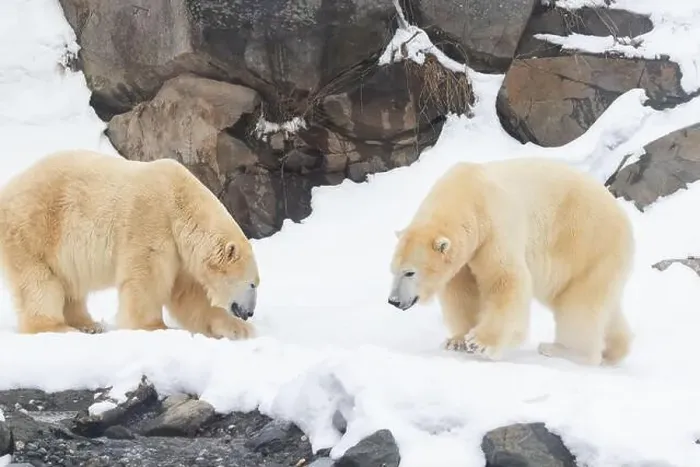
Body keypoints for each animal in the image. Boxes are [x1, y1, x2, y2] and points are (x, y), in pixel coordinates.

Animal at [0, 149, 259, 340]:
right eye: (252, 284)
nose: (249, 313)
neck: (179, 200)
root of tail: (6, 192)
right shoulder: (151, 221)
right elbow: (146, 279)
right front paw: (155, 327)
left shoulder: (180, 253)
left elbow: (190, 296)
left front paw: (240, 330)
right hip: (34, 230)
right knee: (38, 283)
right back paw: (57, 327)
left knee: (70, 283)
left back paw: (89, 324)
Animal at [388, 157, 635, 366]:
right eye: (393, 270)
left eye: (409, 272)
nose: (394, 301)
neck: (467, 192)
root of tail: (624, 220)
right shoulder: (466, 254)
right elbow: (461, 291)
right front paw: (456, 340)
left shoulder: (494, 227)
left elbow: (504, 278)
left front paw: (480, 343)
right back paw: (614, 350)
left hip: (587, 245)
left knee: (578, 306)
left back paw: (561, 350)